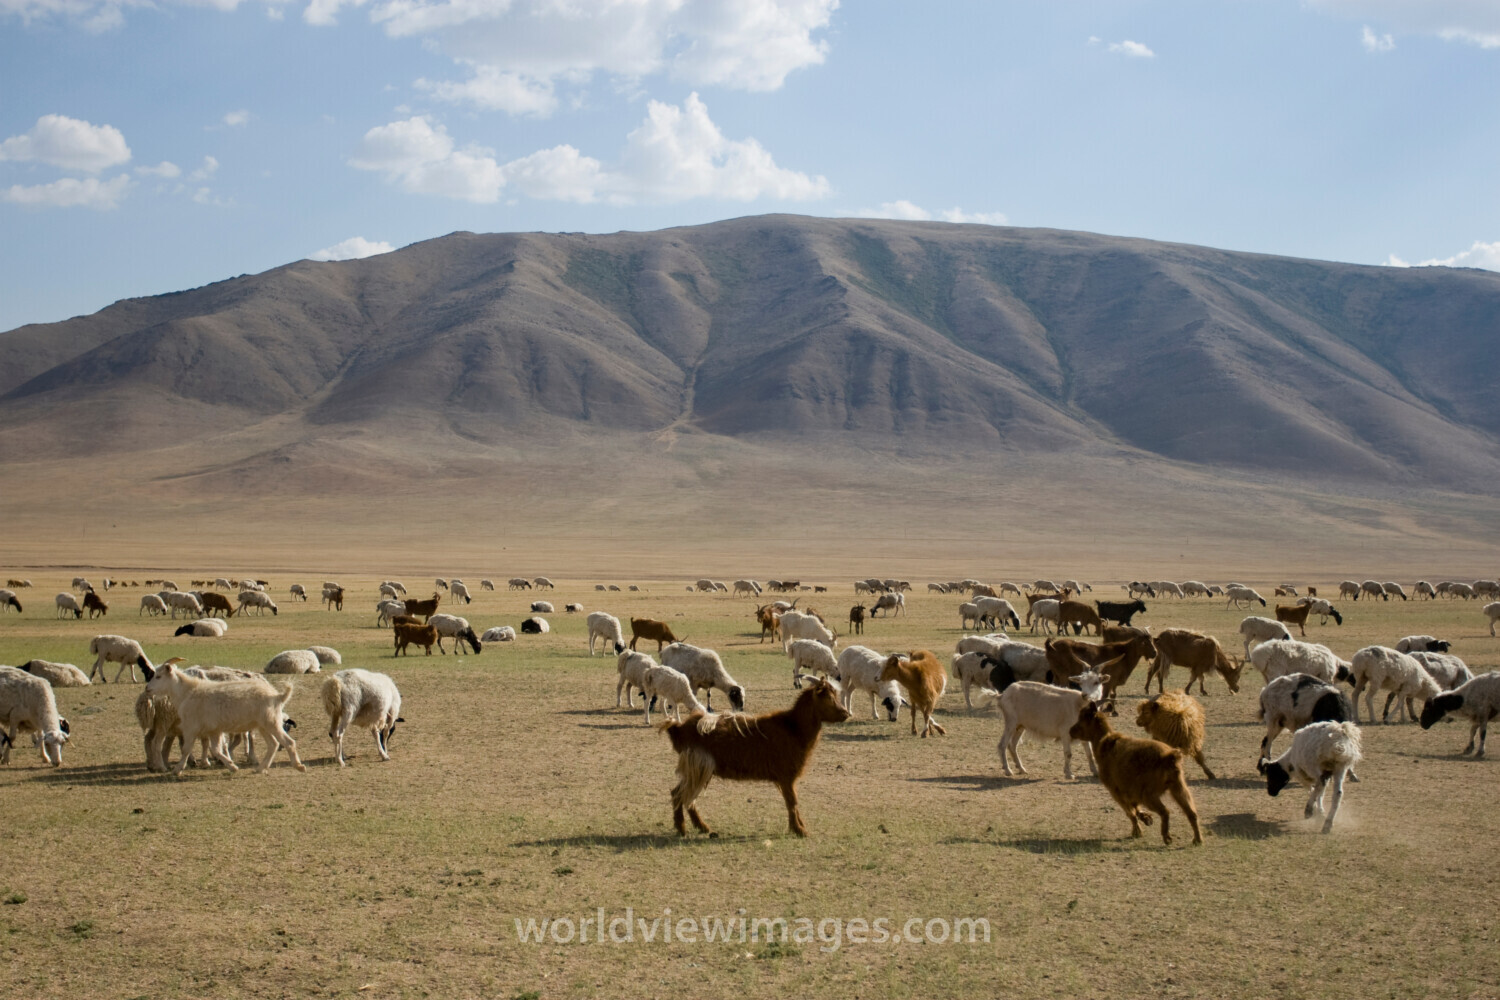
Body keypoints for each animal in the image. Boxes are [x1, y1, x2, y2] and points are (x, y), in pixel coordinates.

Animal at [143, 661, 304, 774]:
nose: (147, 689)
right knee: (273, 744)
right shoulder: (213, 730)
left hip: (272, 723)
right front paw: (231, 766)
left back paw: (298, 766)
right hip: (263, 725)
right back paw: (261, 768)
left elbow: (186, 749)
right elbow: (215, 750)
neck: (188, 692)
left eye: (158, 676)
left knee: (288, 742)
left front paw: (178, 770)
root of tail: (277, 696)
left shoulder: (191, 727)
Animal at [664, 676, 850, 838]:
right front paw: (799, 830)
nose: (846, 714)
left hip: (698, 768)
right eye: (828, 698)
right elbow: (792, 802)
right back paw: (682, 829)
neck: (793, 728)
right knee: (681, 794)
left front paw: (799, 827)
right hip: (699, 765)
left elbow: (792, 802)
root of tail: (678, 728)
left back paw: (701, 827)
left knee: (684, 795)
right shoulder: (785, 776)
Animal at [1069, 703, 1203, 845]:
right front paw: (1146, 818)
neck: (1104, 743)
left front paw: (1137, 831)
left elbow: (1130, 812)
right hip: (1178, 787)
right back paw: (1197, 839)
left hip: (1149, 794)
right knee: (1192, 813)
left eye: (1082, 718)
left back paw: (1167, 837)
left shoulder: (1116, 791)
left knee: (1165, 811)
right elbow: (1135, 807)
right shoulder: (1130, 791)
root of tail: (1169, 756)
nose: (1071, 730)